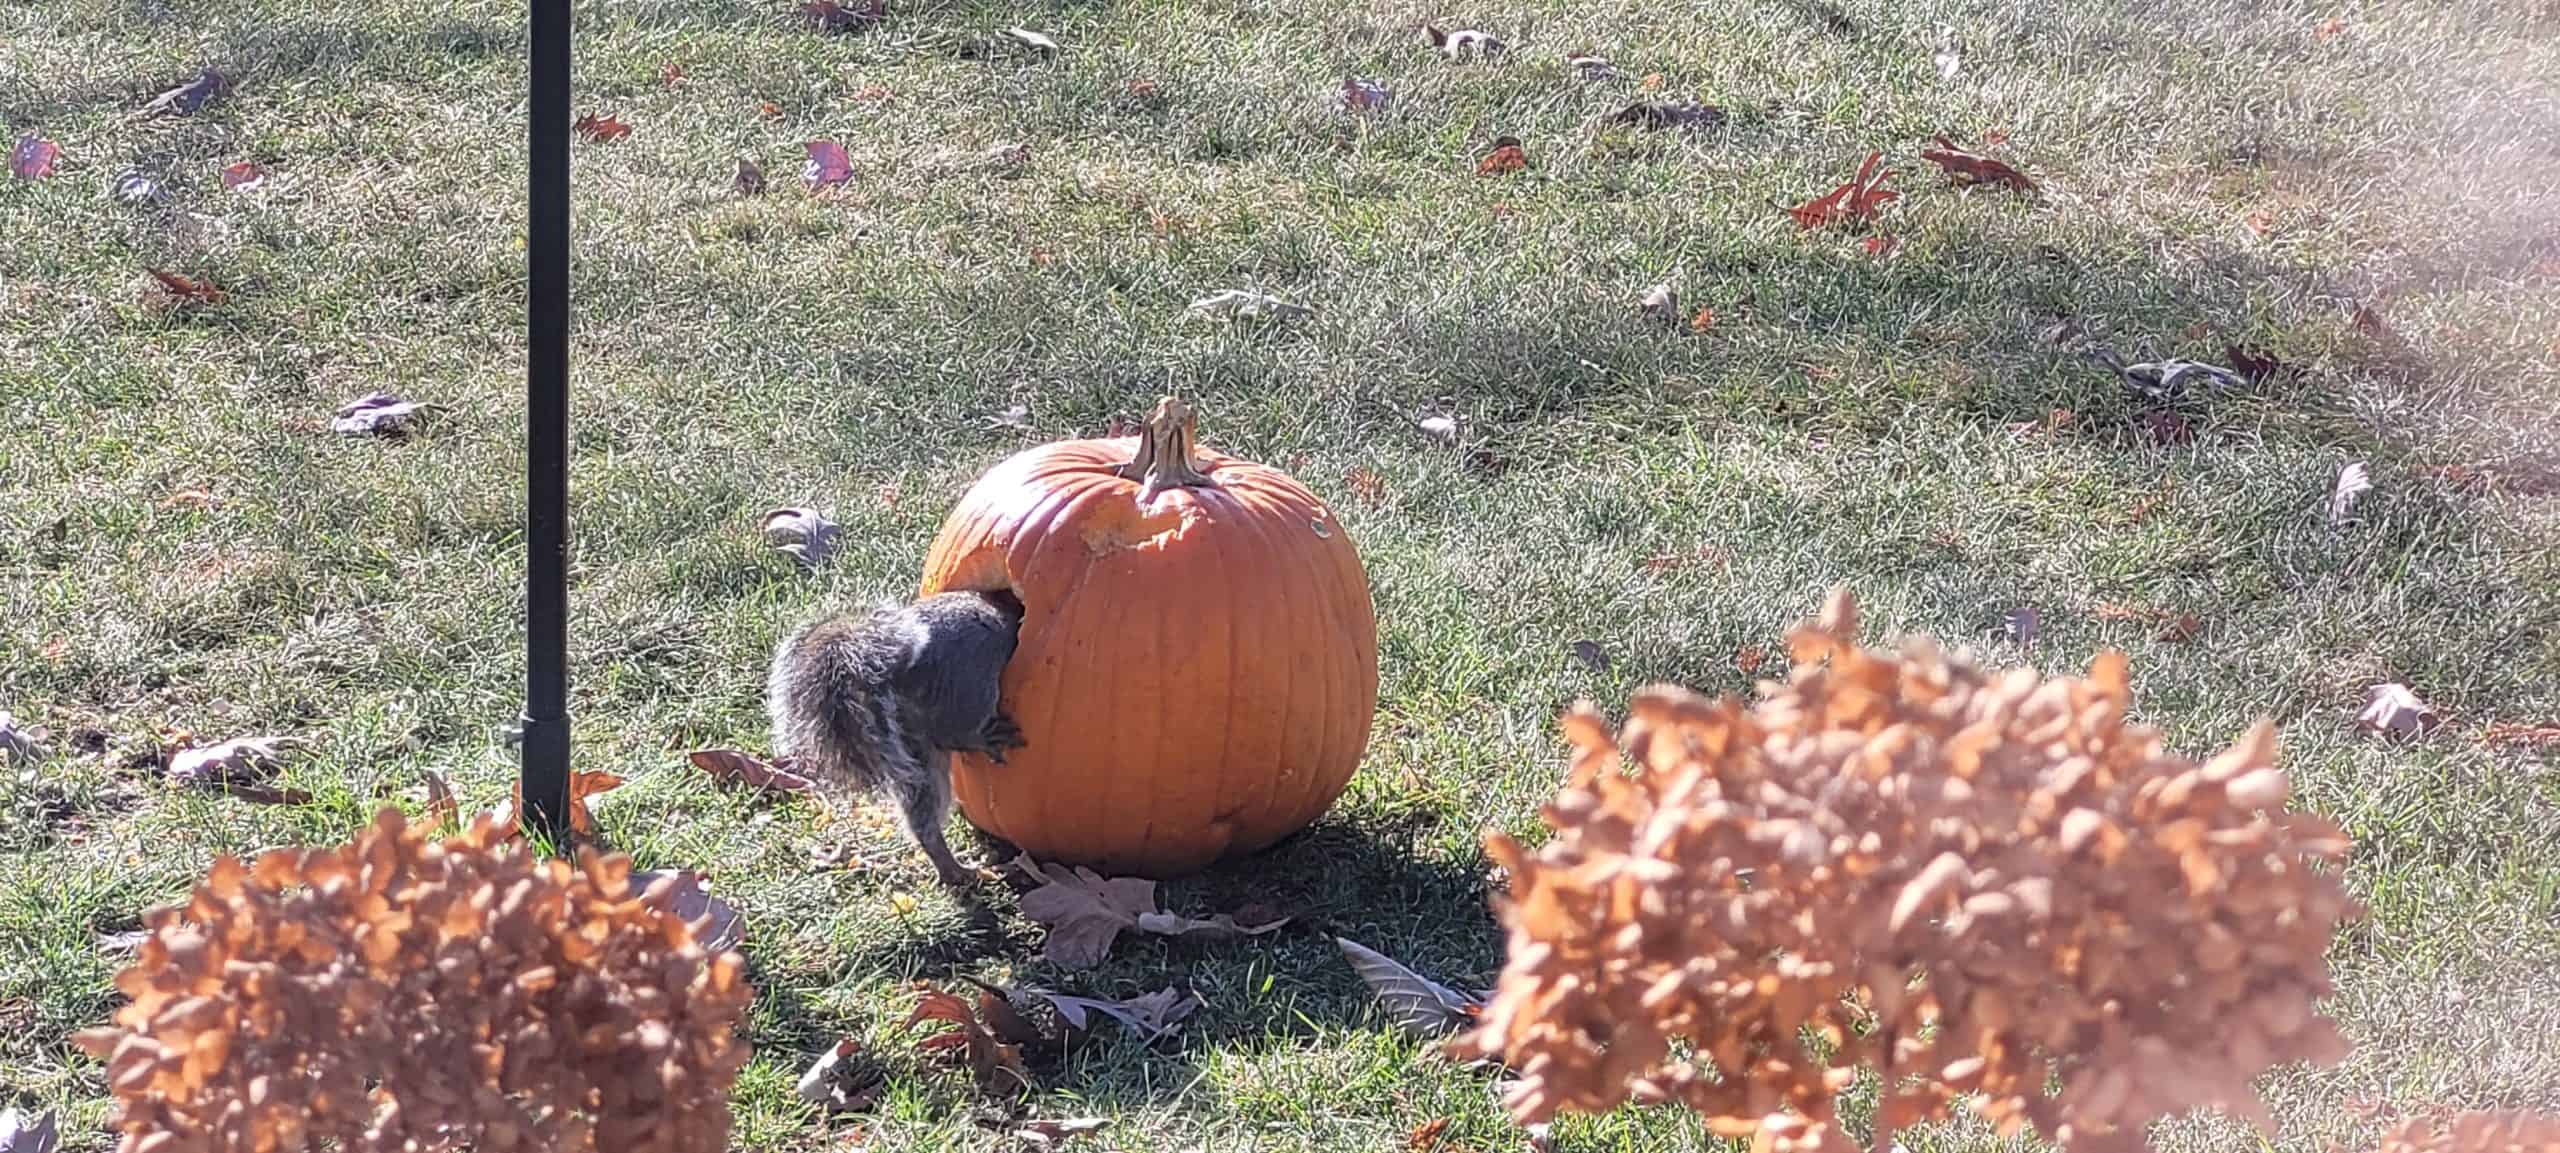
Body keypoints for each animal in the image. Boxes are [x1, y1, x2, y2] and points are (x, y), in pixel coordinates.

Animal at [767, 588, 1027, 886]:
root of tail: (903, 675)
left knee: (923, 812)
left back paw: (953, 868)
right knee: (954, 731)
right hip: (972, 675)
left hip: (913, 747)